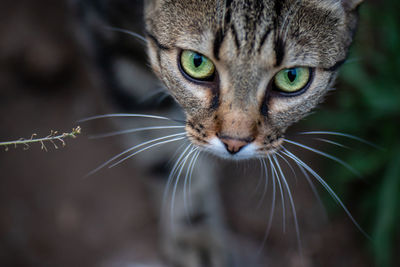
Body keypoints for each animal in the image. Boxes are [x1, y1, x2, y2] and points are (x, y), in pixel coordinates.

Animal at [72, 0, 366, 266]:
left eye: (292, 77)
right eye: (196, 62)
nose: (234, 142)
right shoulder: (112, 44)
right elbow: (160, 145)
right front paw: (194, 232)